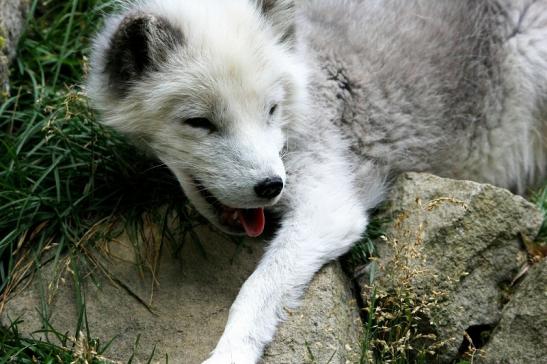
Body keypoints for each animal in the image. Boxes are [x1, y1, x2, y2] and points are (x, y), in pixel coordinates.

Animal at [88, 0, 544, 362]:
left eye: (271, 109)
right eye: (199, 122)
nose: (271, 186)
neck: (311, 77)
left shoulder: (329, 208)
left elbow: (258, 289)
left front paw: (230, 353)